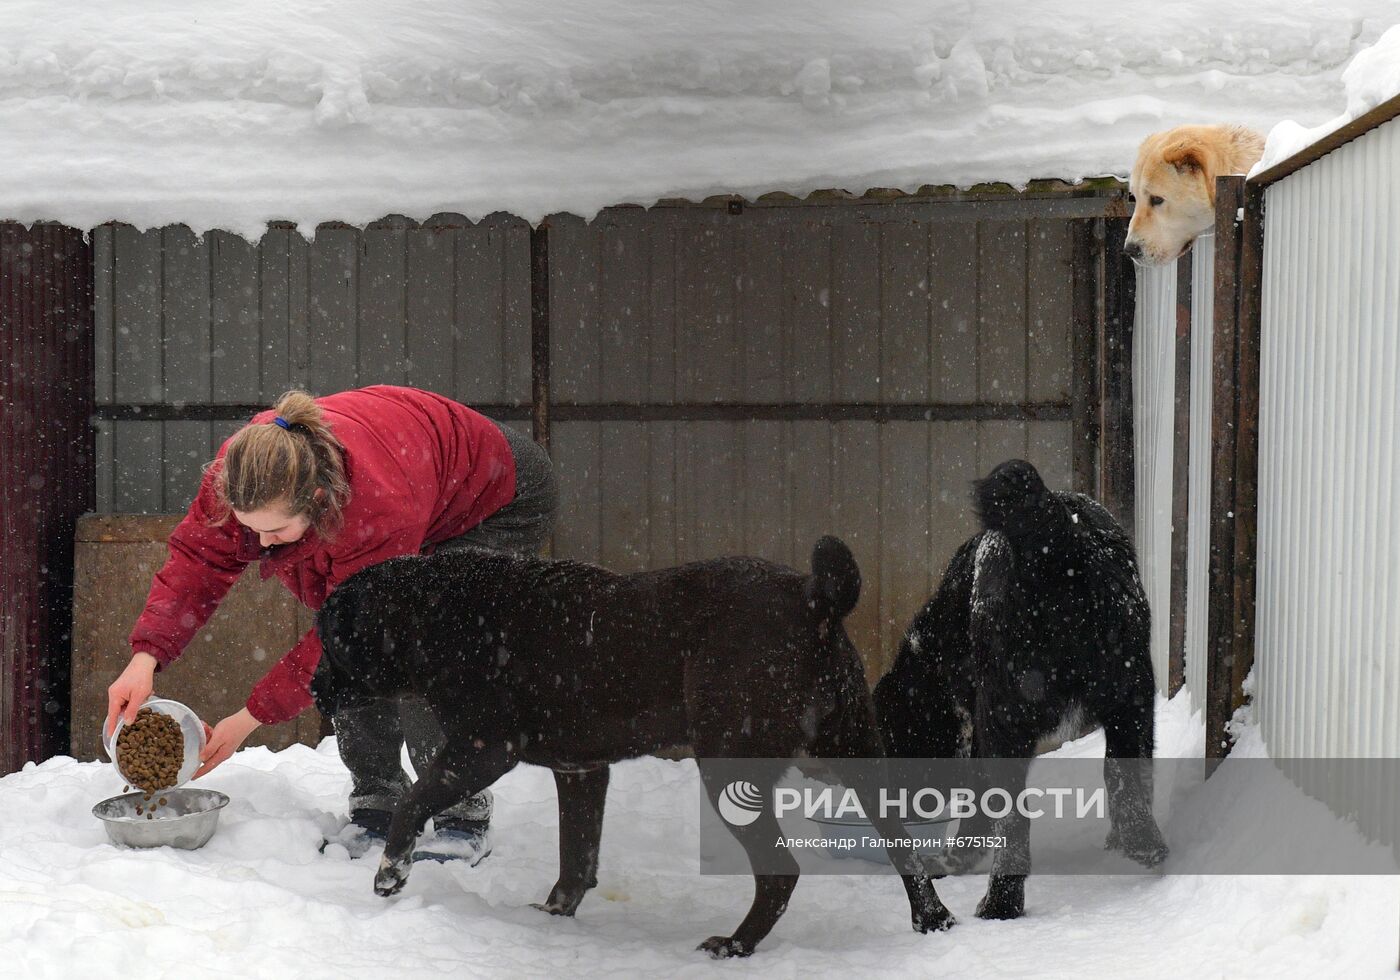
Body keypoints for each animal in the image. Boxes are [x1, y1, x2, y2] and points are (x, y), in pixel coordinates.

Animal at [313, 534, 957, 957]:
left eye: (330, 639)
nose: (315, 687)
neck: (438, 614)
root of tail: (814, 599)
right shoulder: (581, 770)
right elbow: (577, 857)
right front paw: (554, 917)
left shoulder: (482, 749)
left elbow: (412, 801)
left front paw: (390, 874)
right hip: (859, 753)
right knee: (903, 844)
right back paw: (933, 920)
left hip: (729, 766)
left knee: (780, 872)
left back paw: (737, 944)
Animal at [879, 459, 1164, 918]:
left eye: (894, 740)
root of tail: (1056, 540)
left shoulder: (984, 733)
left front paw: (954, 861)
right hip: (1130, 694)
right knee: (1124, 780)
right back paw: (1142, 847)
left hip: (1009, 719)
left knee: (1013, 822)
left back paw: (999, 903)